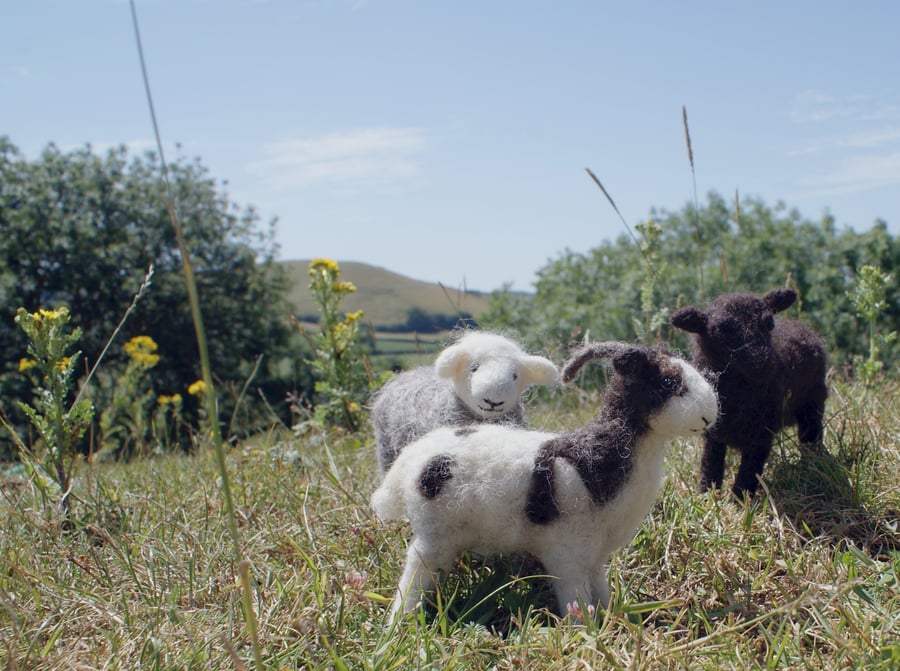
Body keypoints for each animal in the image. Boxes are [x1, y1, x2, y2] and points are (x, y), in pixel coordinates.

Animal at [670, 288, 828, 498]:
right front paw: (706, 496)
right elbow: (710, 465)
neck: (740, 393)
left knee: (811, 434)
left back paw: (813, 465)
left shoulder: (762, 433)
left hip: (812, 402)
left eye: (769, 323)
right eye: (719, 331)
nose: (761, 362)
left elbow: (748, 472)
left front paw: (739, 500)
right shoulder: (714, 433)